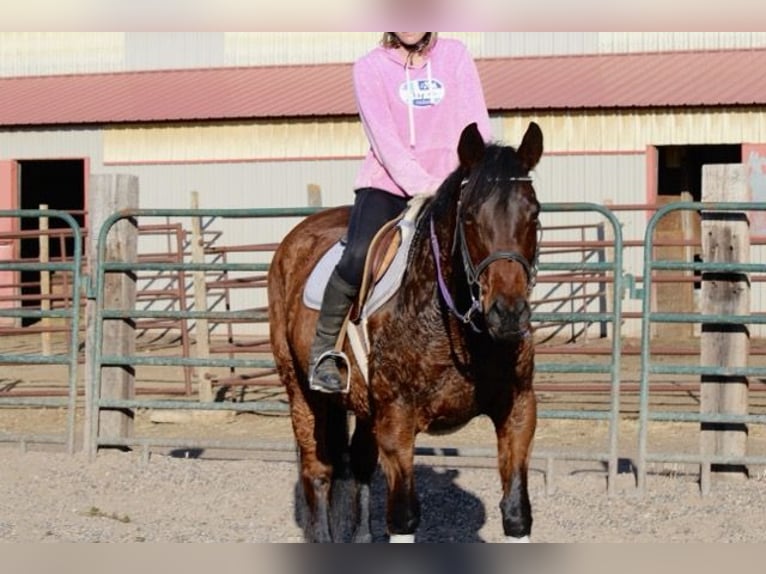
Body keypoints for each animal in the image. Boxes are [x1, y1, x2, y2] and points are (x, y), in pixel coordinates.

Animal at [268, 121, 544, 544]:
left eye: (534, 213)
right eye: (469, 217)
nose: (508, 315)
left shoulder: (518, 411)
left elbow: (516, 513)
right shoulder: (397, 421)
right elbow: (403, 517)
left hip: (364, 408)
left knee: (359, 465)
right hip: (302, 390)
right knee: (317, 471)